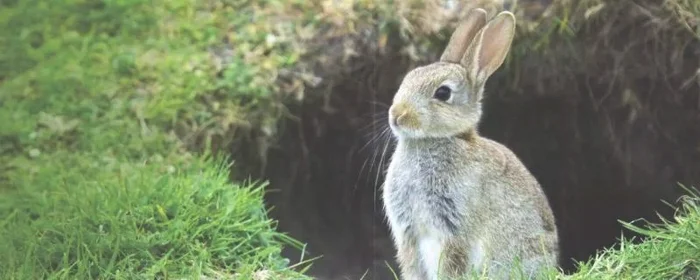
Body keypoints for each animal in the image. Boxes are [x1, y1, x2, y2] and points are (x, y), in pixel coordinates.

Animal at [380, 7, 560, 278]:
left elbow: (452, 265)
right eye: (408, 78)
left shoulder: (454, 229)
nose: (397, 115)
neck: (434, 140)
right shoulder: (408, 234)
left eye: (443, 93)